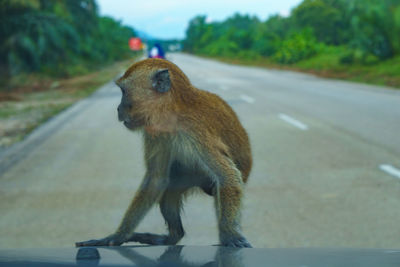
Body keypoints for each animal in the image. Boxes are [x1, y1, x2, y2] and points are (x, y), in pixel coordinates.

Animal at [75, 57, 252, 248]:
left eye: (123, 91)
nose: (118, 109)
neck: (172, 113)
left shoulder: (195, 131)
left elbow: (227, 176)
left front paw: (230, 236)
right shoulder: (155, 132)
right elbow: (155, 180)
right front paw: (119, 235)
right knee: (169, 192)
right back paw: (172, 236)